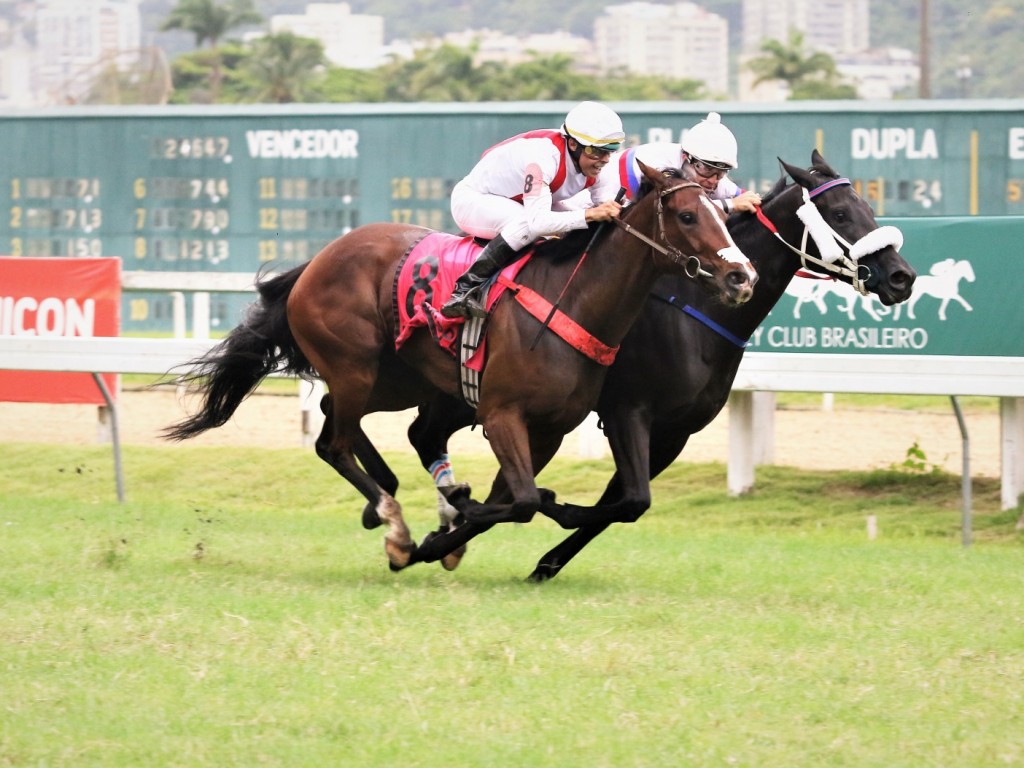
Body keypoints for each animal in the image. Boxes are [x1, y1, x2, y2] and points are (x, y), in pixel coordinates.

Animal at [163, 162, 757, 573]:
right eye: (687, 215)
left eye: (723, 214)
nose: (741, 277)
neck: (573, 299)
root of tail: (318, 260)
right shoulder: (503, 413)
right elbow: (522, 500)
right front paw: (449, 521)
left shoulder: (551, 428)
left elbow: (518, 498)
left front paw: (454, 519)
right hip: (356, 366)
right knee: (333, 441)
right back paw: (393, 522)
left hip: (394, 378)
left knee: (345, 419)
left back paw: (389, 500)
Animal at [395, 151, 917, 577]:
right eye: (841, 213)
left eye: (869, 208)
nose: (902, 277)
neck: (697, 313)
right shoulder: (628, 411)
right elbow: (629, 499)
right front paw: (547, 514)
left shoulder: (674, 431)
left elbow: (626, 502)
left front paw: (544, 559)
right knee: (428, 436)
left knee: (430, 438)